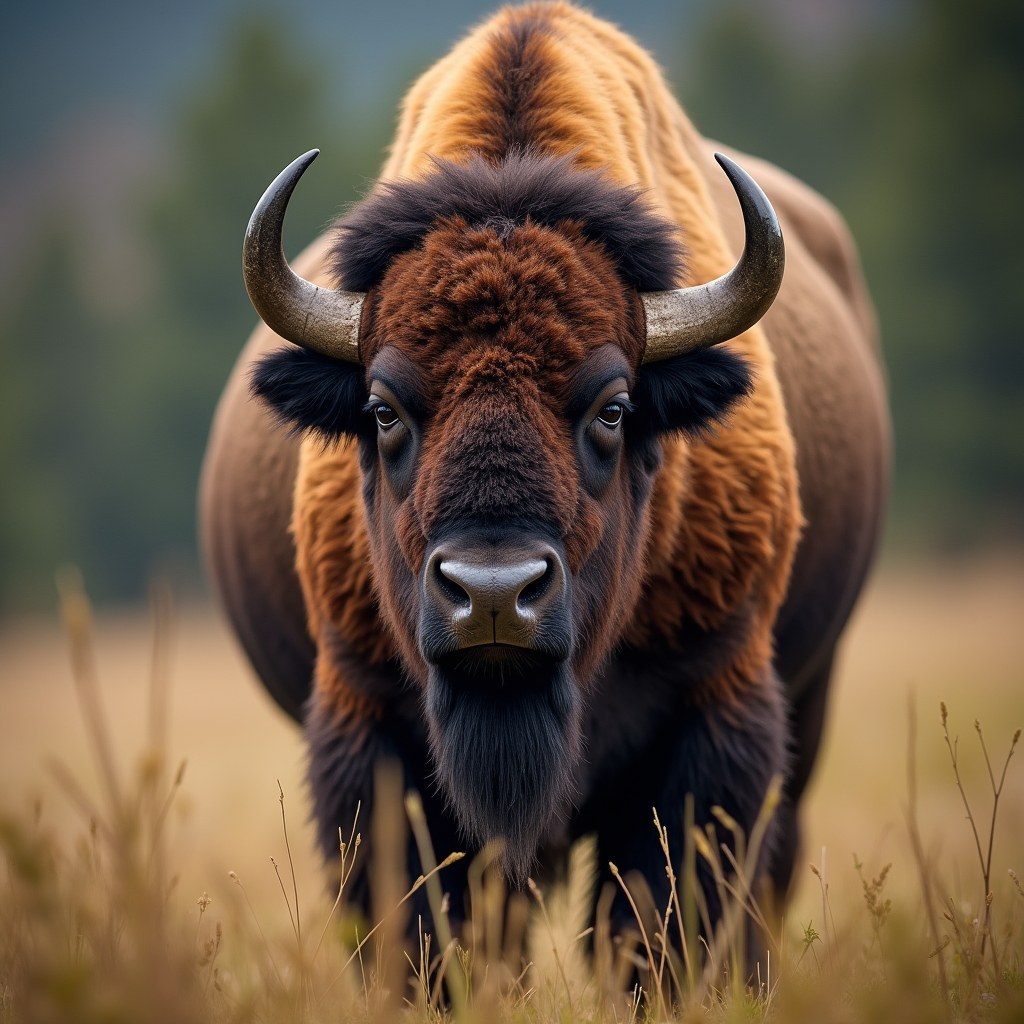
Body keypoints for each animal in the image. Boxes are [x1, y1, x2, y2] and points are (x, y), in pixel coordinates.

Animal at [201, 0, 889, 937]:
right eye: (382, 410)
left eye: (614, 408)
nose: (493, 595)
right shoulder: (368, 725)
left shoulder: (713, 712)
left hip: (810, 700)